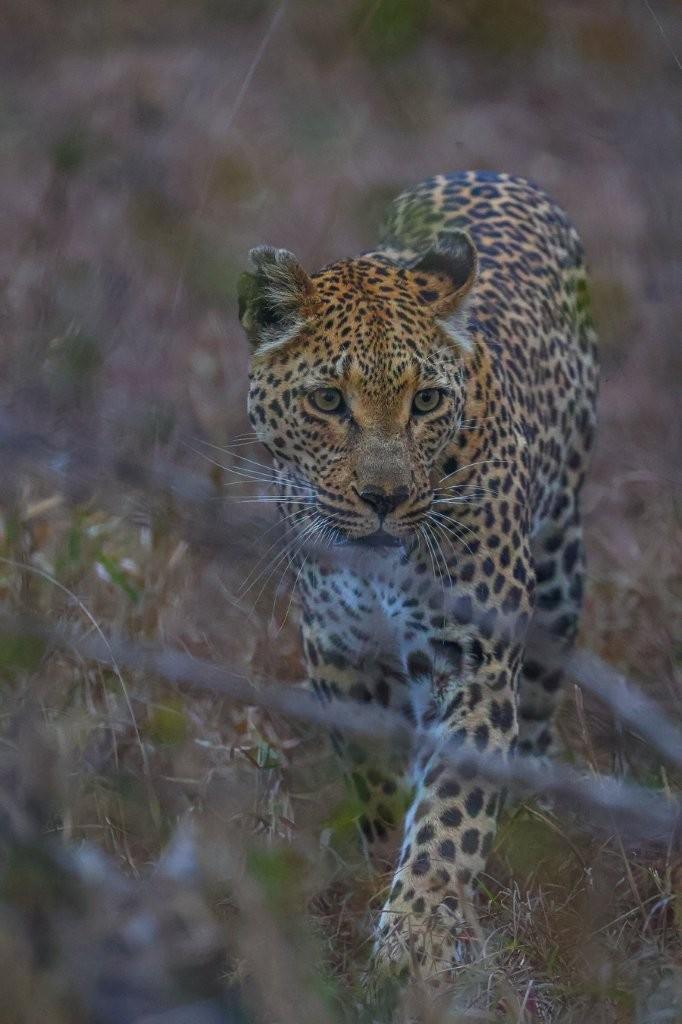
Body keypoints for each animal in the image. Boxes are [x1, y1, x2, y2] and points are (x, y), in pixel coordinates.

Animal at [238, 170, 599, 983]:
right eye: (328, 400)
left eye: (426, 400)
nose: (384, 496)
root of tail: (492, 171)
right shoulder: (338, 649)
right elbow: (376, 778)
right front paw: (382, 868)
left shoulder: (473, 662)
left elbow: (451, 813)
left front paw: (420, 934)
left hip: (560, 569)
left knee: (539, 702)